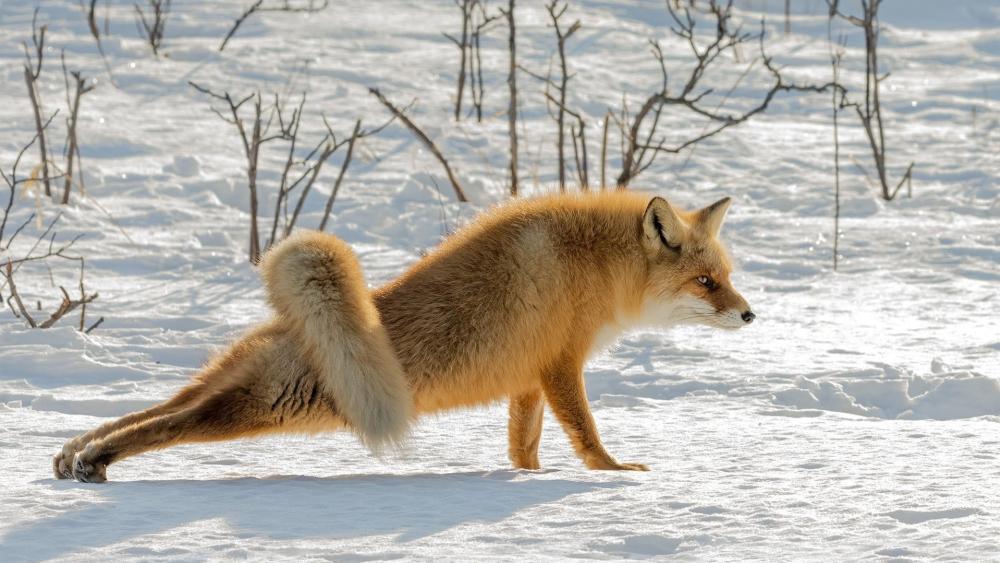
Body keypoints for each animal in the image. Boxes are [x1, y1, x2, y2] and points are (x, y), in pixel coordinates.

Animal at [54, 190, 754, 483]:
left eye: (725, 277)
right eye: (705, 283)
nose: (750, 315)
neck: (596, 263)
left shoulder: (528, 378)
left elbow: (523, 447)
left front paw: (530, 478)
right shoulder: (561, 365)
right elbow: (587, 433)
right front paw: (612, 475)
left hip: (228, 385)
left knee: (159, 407)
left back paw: (76, 453)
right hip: (259, 410)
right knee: (168, 425)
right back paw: (99, 459)